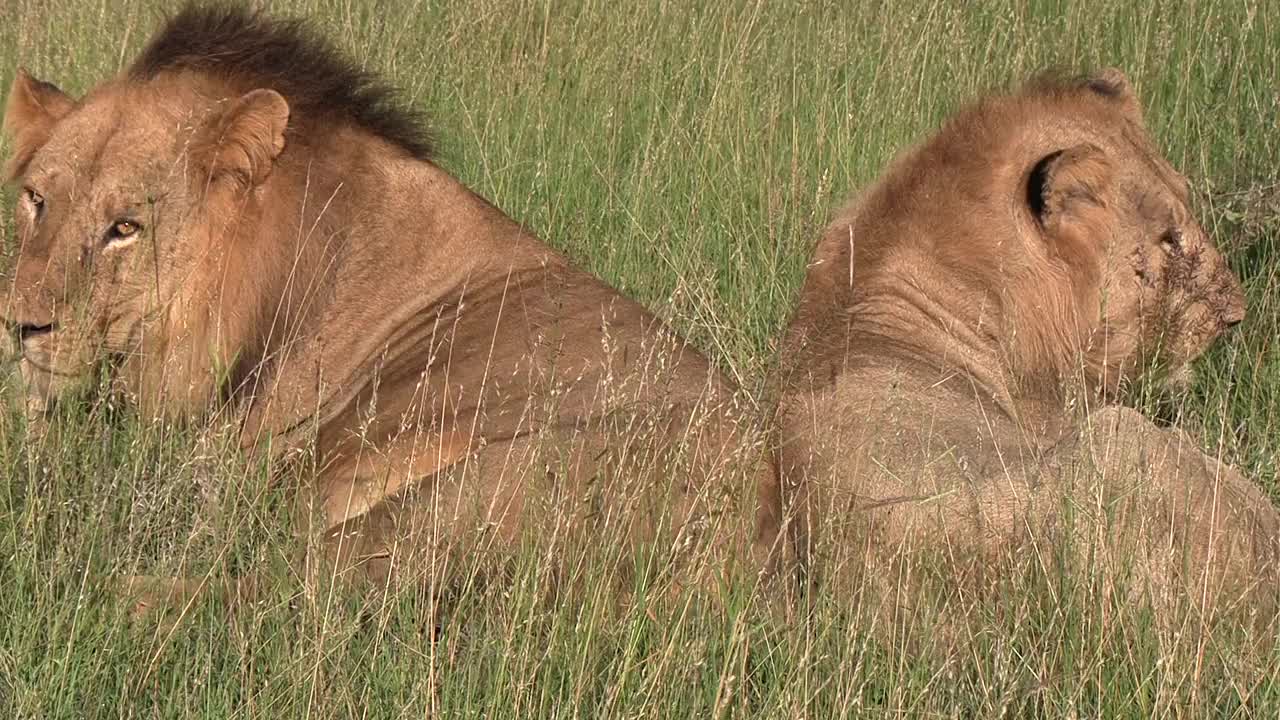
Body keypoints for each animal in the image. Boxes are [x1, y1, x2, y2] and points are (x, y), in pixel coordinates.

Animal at [0, 4, 783, 609]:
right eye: (36, 199)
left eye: (124, 227)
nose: (17, 326)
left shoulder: (206, 473)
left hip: (461, 501)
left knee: (281, 591)